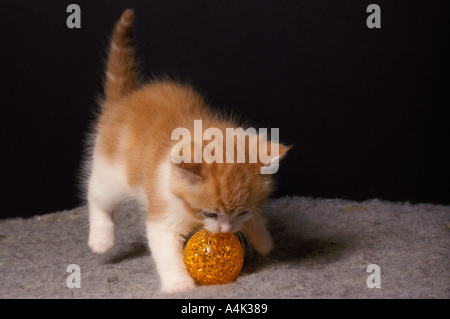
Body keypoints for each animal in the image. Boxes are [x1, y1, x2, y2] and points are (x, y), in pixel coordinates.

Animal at [86, 9, 290, 296]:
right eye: (210, 214)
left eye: (242, 213)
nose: (226, 230)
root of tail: (125, 100)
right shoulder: (162, 211)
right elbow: (164, 248)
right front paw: (178, 283)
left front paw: (262, 239)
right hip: (113, 171)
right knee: (96, 194)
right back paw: (101, 238)